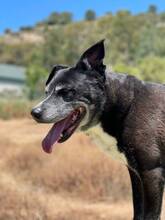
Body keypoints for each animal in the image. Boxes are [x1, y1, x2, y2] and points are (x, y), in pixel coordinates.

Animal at [31, 40, 165, 219]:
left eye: (66, 92)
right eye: (46, 92)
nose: (34, 113)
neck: (127, 105)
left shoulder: (152, 173)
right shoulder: (136, 175)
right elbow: (138, 213)